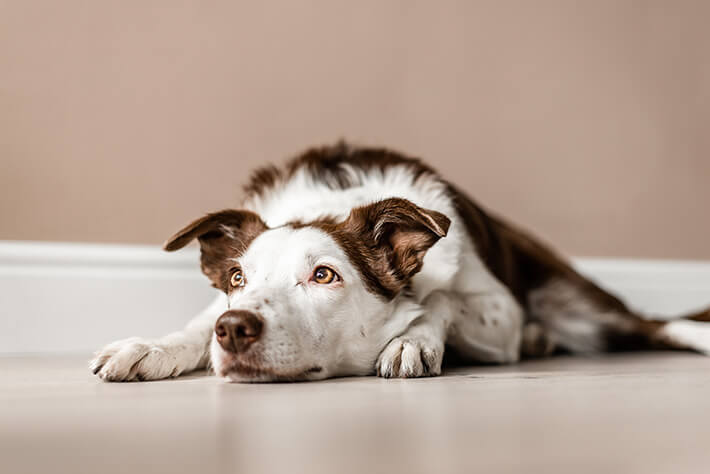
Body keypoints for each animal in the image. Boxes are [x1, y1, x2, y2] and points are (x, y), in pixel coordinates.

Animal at [89, 143, 710, 384]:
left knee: (654, 324)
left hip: (577, 303)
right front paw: (150, 347)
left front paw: (413, 339)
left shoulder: (500, 311)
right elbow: (195, 325)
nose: (235, 329)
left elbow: (440, 296)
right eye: (237, 279)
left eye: (324, 275)